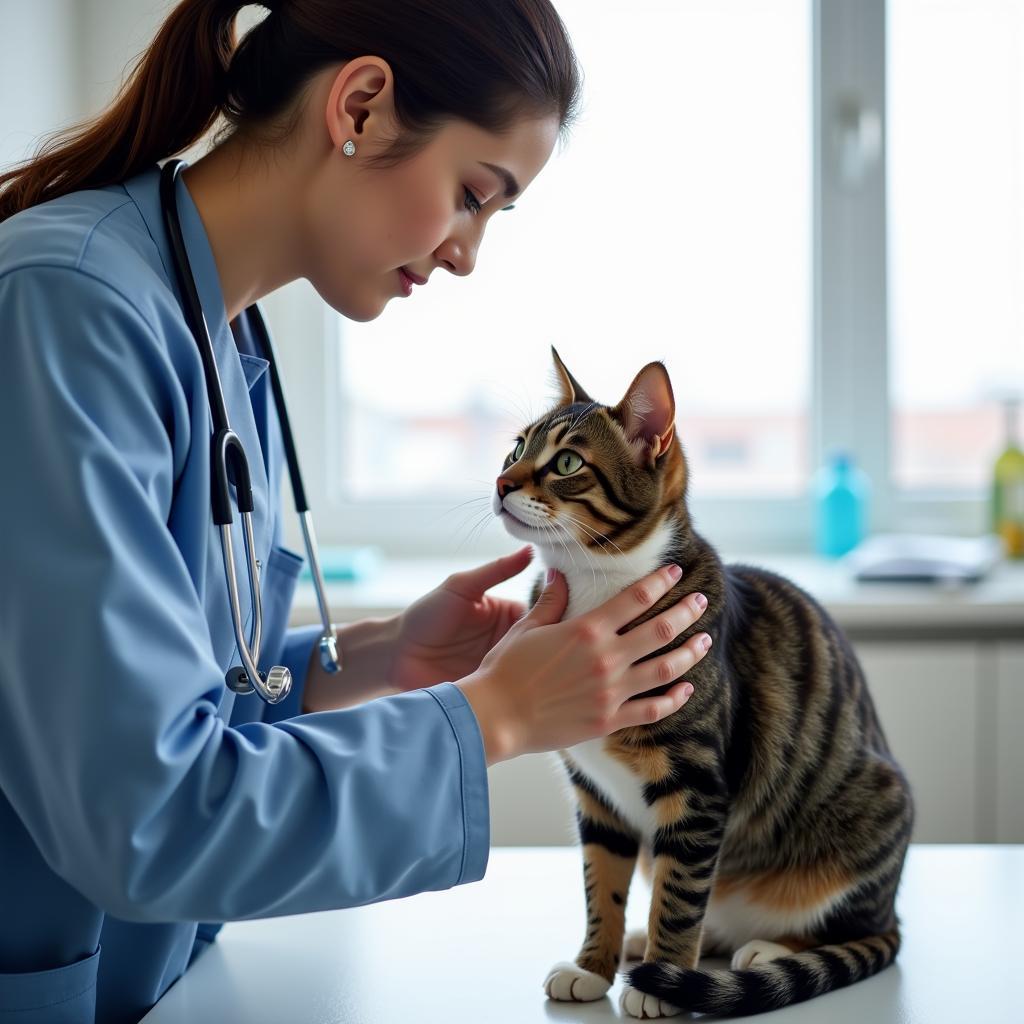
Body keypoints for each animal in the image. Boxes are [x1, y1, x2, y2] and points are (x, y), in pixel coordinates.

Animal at [491, 350, 917, 1015]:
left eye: (566, 463)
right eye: (516, 448)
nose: (501, 482)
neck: (594, 589)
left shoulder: (696, 788)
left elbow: (679, 893)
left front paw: (663, 981)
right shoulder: (596, 795)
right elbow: (601, 885)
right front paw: (593, 966)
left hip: (871, 815)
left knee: (846, 925)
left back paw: (763, 952)